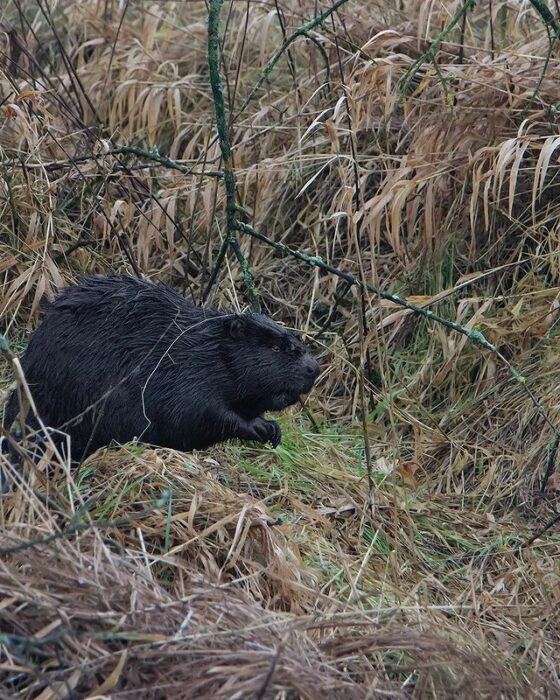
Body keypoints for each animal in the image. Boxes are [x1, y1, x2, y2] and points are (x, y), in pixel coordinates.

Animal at [2, 274, 320, 486]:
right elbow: (200, 415)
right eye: (277, 347)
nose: (314, 368)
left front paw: (274, 429)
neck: (202, 349)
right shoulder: (184, 378)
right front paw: (261, 428)